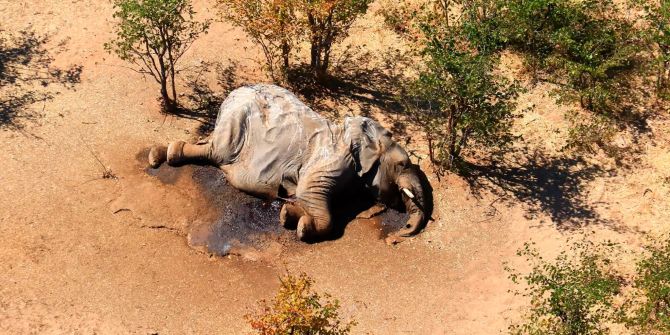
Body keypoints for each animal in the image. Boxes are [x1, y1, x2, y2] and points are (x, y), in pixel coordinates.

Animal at [149, 83, 434, 243]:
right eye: (402, 164)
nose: (399, 235)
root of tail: (232, 93)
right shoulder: (332, 160)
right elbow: (310, 194)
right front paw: (302, 228)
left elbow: (308, 198)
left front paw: (288, 214)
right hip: (236, 122)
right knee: (216, 152)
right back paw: (164, 155)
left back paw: (159, 154)